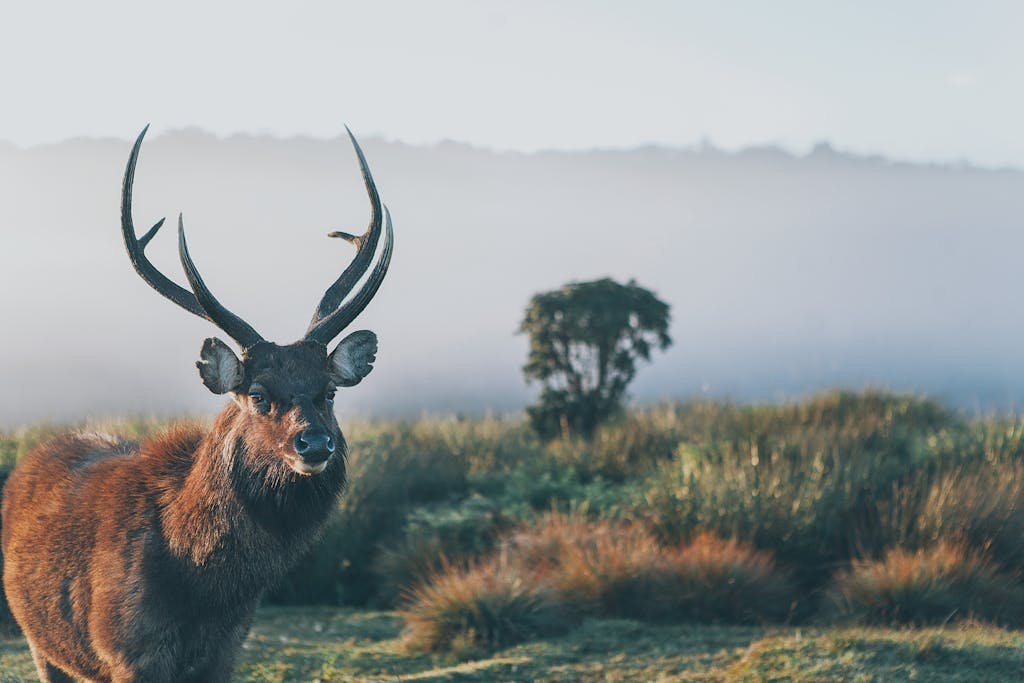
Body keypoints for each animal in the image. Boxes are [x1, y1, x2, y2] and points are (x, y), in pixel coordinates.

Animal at [0, 124, 393, 683]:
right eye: (258, 395)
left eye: (330, 391)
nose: (315, 443)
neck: (207, 590)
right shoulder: (127, 651)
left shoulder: (226, 650)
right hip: (42, 644)